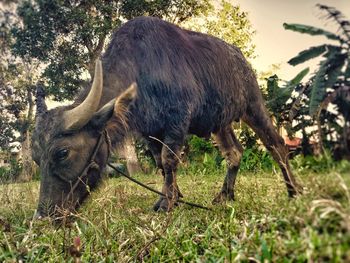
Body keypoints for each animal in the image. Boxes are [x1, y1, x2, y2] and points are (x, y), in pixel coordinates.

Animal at [32, 16, 300, 219]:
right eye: (36, 158)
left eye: (62, 153)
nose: (44, 216)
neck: (141, 71)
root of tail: (241, 59)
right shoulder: (149, 133)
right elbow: (160, 164)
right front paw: (173, 195)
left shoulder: (177, 122)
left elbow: (169, 160)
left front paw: (166, 202)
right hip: (221, 123)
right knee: (234, 152)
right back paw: (225, 195)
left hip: (254, 105)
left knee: (276, 145)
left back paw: (294, 190)